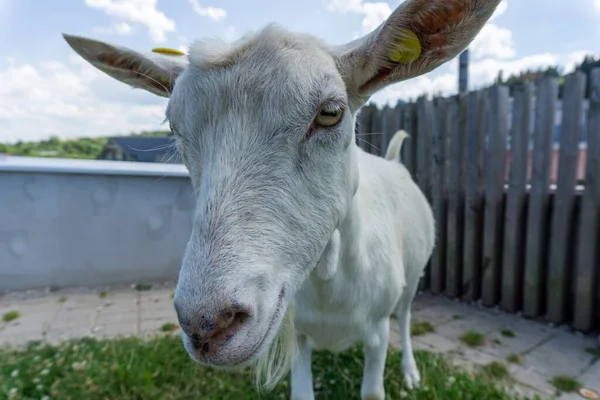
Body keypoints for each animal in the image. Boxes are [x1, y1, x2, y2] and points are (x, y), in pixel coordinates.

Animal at [62, 1, 502, 398]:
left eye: (330, 113)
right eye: (174, 126)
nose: (208, 325)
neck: (329, 287)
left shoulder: (377, 332)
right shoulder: (300, 334)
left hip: (413, 276)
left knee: (408, 317)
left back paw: (411, 372)